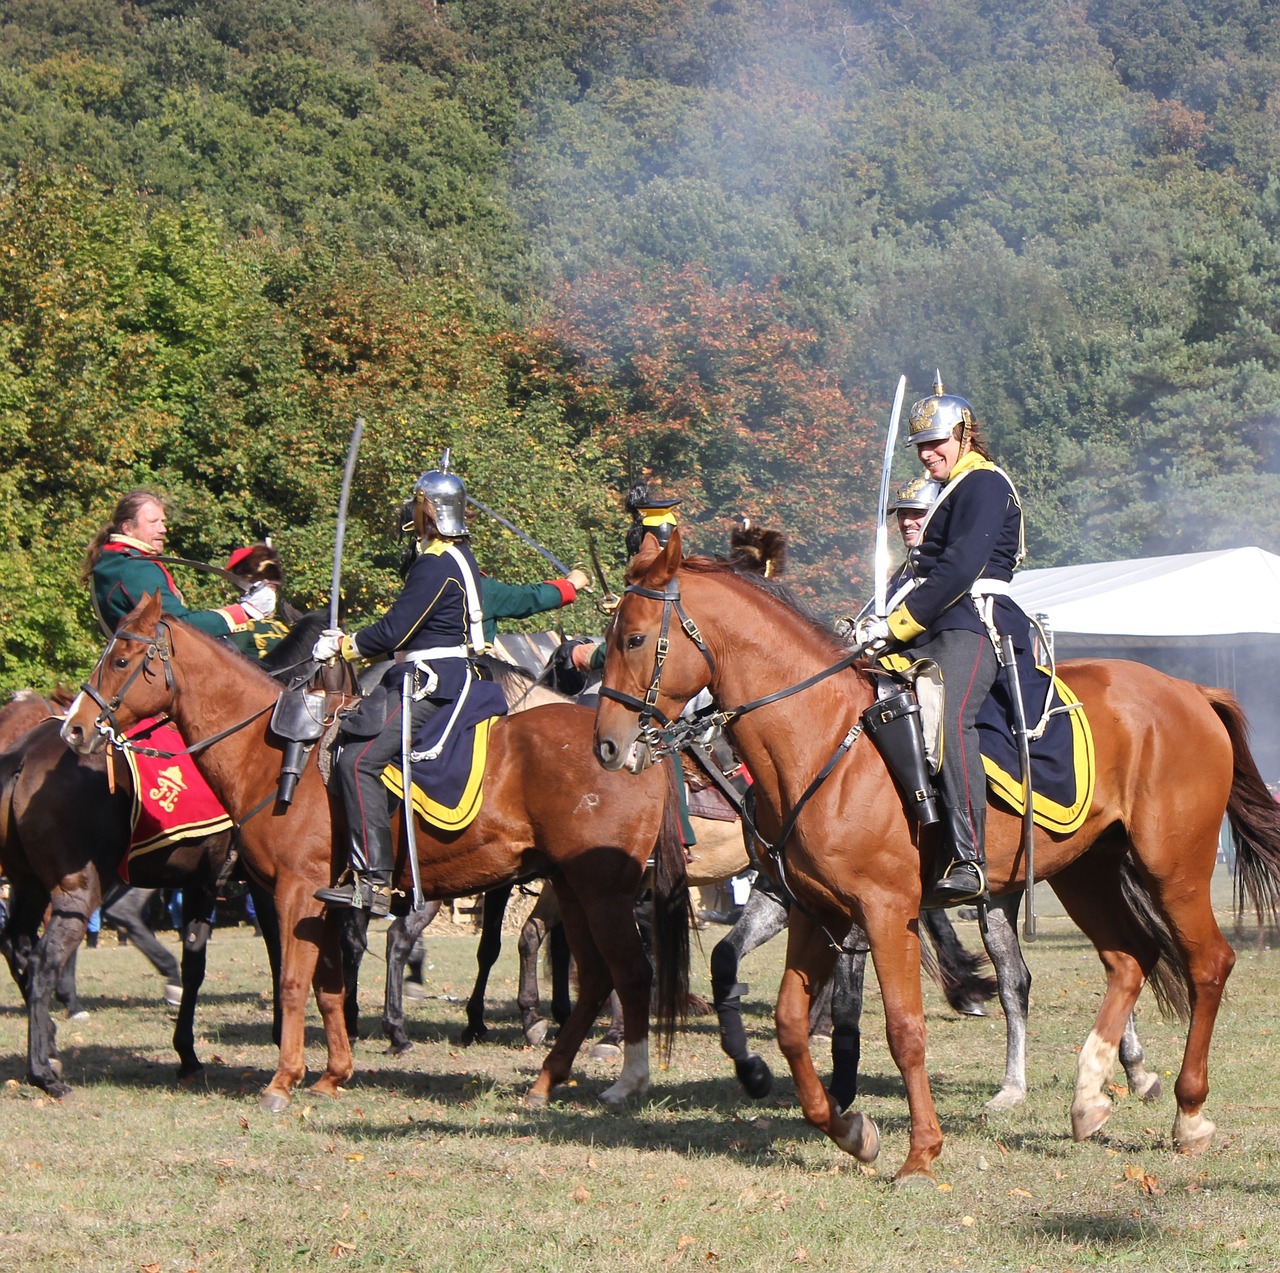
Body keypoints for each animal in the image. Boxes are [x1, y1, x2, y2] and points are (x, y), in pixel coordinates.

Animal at [61, 591, 696, 1110]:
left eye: (122, 660)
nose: (76, 729)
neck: (272, 754)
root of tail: (634, 746)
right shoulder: (322, 900)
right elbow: (328, 985)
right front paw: (332, 1074)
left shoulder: (296, 891)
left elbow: (294, 982)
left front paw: (282, 1081)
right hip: (569, 887)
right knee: (595, 976)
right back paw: (545, 1079)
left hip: (601, 892)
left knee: (631, 973)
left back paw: (625, 1081)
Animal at [591, 529, 1280, 1182]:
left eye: (633, 638)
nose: (608, 745)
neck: (821, 738)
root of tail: (1191, 690)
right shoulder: (816, 908)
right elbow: (789, 1021)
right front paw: (849, 1129)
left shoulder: (882, 910)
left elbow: (903, 1028)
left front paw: (920, 1153)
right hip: (1086, 873)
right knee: (1129, 958)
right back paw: (1090, 1096)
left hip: (1174, 868)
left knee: (1207, 963)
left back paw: (1188, 1115)